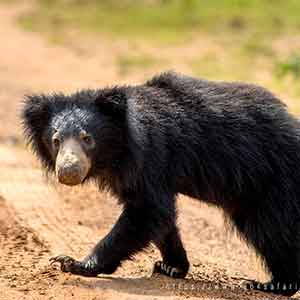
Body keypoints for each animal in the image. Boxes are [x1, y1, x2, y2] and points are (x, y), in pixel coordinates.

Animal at [21, 72, 300, 296]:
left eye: (87, 138)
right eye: (56, 140)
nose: (68, 171)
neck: (117, 150)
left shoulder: (149, 157)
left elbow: (147, 210)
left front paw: (72, 263)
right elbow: (158, 218)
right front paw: (172, 267)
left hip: (274, 181)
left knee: (273, 231)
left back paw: (277, 284)